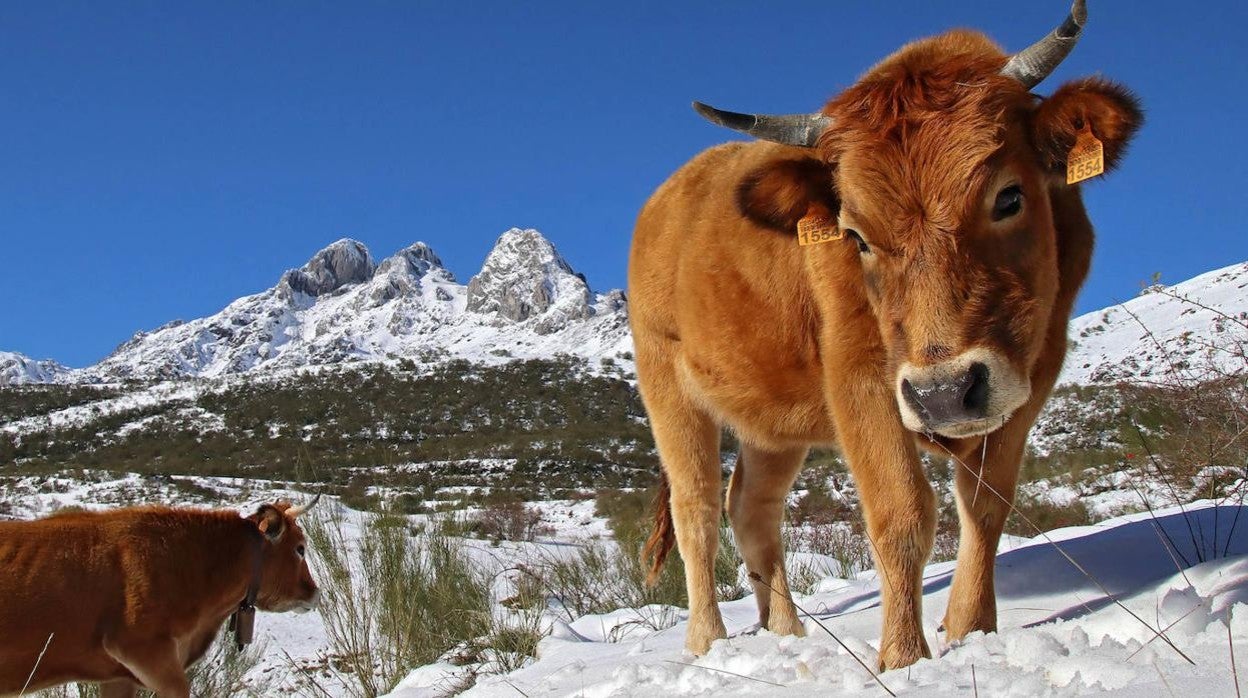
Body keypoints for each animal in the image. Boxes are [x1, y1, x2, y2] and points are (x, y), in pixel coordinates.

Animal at [633, 2, 1143, 674]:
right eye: (855, 235)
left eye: (1009, 196)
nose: (945, 393)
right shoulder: (861, 377)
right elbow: (902, 514)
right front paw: (904, 658)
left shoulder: (1032, 372)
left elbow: (986, 504)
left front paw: (972, 630)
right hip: (669, 390)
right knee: (696, 513)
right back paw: (707, 643)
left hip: (772, 424)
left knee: (751, 510)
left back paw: (786, 633)